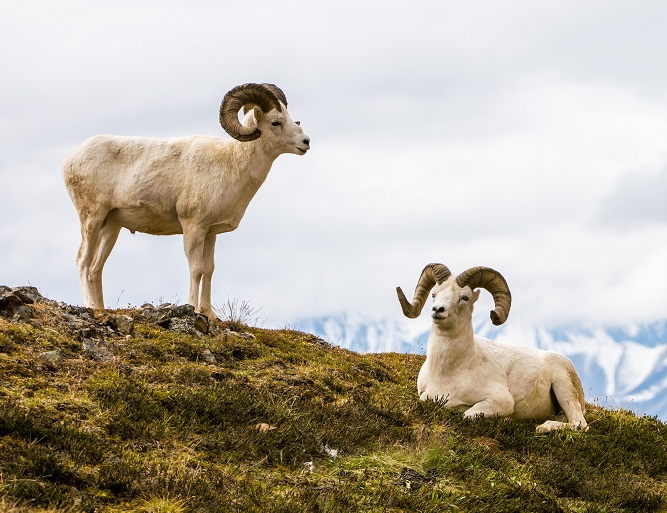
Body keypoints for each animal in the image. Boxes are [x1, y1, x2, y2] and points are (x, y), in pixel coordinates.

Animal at [61, 82, 310, 318]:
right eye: (276, 122)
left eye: (292, 118)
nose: (306, 142)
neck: (232, 163)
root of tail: (70, 160)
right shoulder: (193, 226)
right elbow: (196, 268)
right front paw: (193, 308)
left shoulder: (210, 233)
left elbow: (209, 270)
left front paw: (209, 313)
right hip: (92, 218)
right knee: (83, 261)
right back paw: (91, 306)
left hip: (111, 226)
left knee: (95, 269)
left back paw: (100, 309)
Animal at [400, 262, 588, 430]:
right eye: (434, 294)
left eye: (465, 297)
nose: (438, 310)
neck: (447, 372)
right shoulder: (425, 395)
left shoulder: (501, 401)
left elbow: (467, 414)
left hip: (564, 387)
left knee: (579, 424)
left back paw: (543, 427)